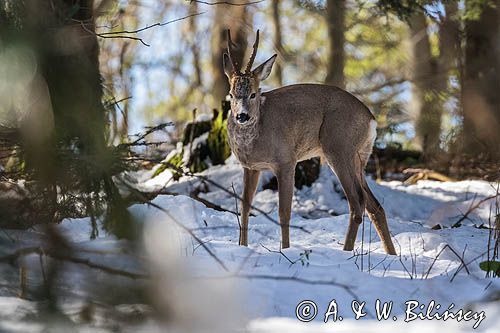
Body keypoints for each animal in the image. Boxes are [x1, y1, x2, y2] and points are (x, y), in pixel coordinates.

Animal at [225, 31, 396, 254]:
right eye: (231, 94)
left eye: (254, 94)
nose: (242, 116)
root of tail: (371, 119)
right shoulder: (251, 167)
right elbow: (244, 207)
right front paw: (243, 246)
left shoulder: (286, 160)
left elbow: (284, 211)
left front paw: (286, 249)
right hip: (360, 156)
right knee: (375, 205)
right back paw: (391, 253)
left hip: (338, 146)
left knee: (357, 201)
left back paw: (345, 251)